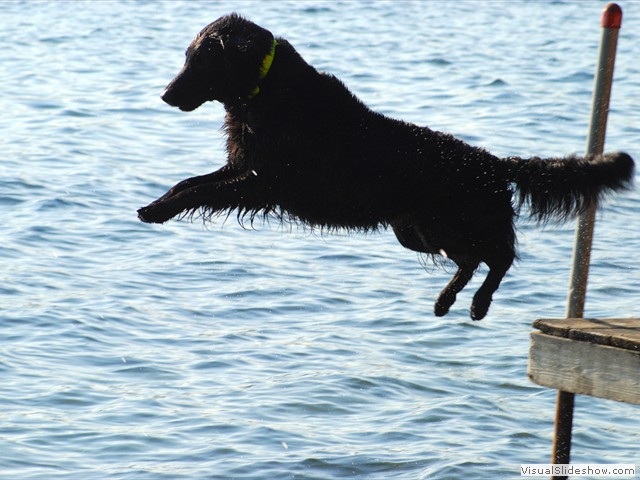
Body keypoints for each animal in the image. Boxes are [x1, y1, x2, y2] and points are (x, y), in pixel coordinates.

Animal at [138, 15, 632, 320]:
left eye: (201, 60)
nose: (164, 94)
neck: (269, 91)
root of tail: (493, 163)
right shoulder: (243, 168)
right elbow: (189, 182)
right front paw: (155, 205)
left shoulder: (265, 181)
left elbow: (200, 190)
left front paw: (159, 211)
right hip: (417, 231)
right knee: (474, 259)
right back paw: (446, 301)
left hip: (451, 223)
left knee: (501, 256)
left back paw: (477, 305)